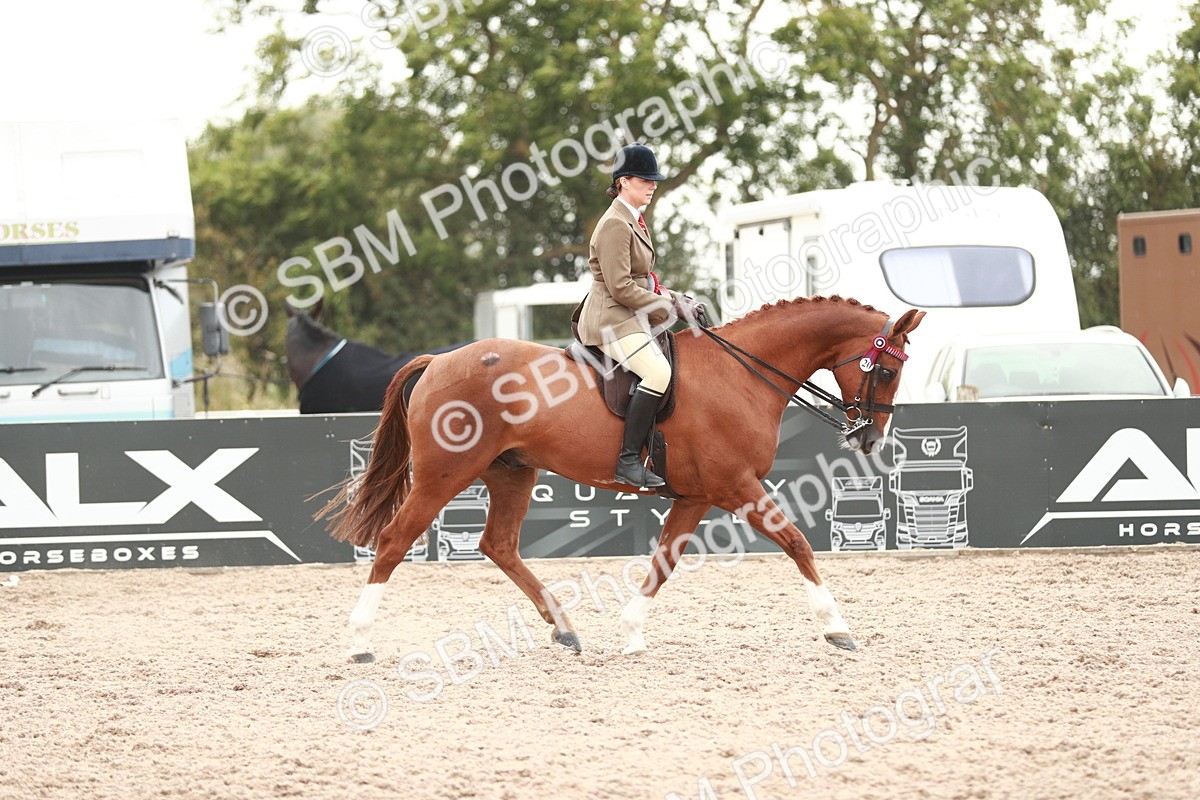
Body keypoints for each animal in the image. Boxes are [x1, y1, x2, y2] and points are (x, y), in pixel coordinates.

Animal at [318, 296, 926, 662]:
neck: (742, 374)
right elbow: (797, 543)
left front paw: (631, 631)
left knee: (499, 545)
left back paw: (564, 627)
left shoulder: (698, 496)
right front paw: (837, 627)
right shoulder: (737, 487)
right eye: (888, 370)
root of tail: (439, 361)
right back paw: (359, 641)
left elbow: (664, 560)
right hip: (443, 476)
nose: (870, 440)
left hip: (512, 473)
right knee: (394, 542)